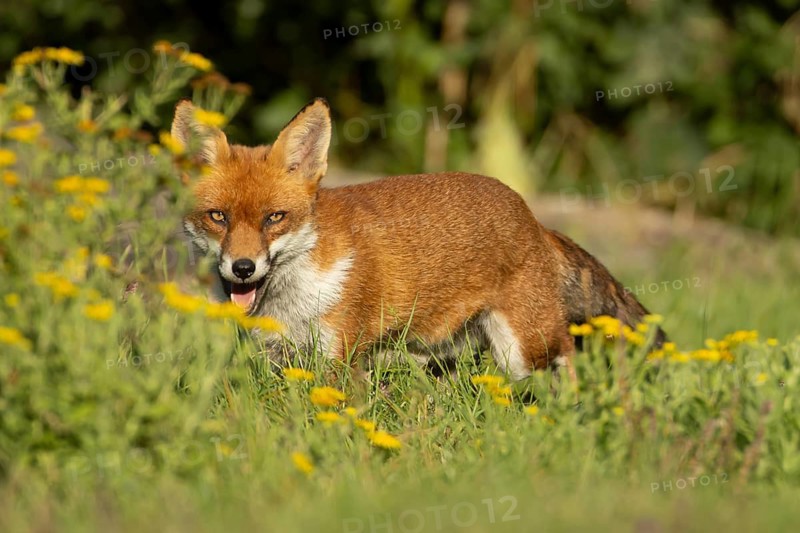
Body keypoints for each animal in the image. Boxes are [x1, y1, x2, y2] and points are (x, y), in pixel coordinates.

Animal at [171, 97, 666, 380]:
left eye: (275, 218)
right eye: (218, 217)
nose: (243, 268)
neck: (295, 298)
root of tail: (532, 218)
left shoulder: (340, 355)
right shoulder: (278, 356)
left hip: (526, 350)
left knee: (566, 361)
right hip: (448, 349)